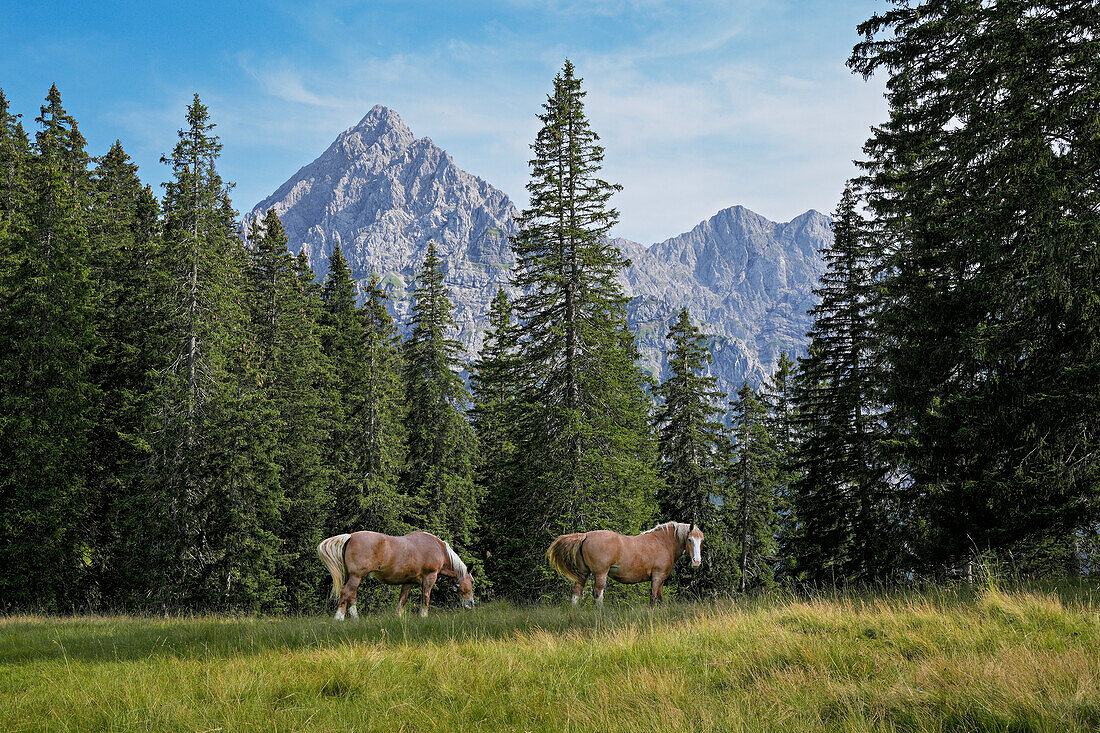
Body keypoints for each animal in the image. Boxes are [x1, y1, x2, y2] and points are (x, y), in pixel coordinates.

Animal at [316, 528, 475, 620]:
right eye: (472, 581)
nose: (471, 603)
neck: (438, 549)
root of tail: (350, 536)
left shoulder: (408, 582)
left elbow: (402, 601)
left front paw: (398, 617)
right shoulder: (429, 578)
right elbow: (425, 598)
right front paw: (424, 616)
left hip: (354, 577)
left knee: (352, 596)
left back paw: (355, 619)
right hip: (356, 577)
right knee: (345, 593)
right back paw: (339, 618)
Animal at [547, 519, 704, 603]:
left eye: (701, 540)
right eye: (690, 540)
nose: (696, 562)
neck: (663, 542)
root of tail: (585, 535)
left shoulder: (661, 579)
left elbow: (660, 598)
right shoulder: (657, 577)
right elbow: (653, 597)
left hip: (582, 574)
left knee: (576, 593)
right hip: (600, 573)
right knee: (598, 593)